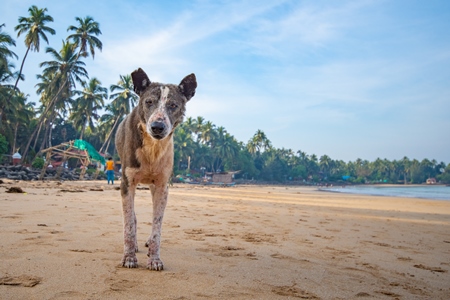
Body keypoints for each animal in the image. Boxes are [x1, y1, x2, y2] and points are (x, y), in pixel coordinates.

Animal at [115, 68, 196, 270]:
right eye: (149, 102)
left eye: (173, 105)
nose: (157, 127)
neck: (153, 146)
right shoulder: (127, 183)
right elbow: (129, 223)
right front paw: (129, 257)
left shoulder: (161, 186)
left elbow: (157, 224)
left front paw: (154, 258)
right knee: (133, 217)